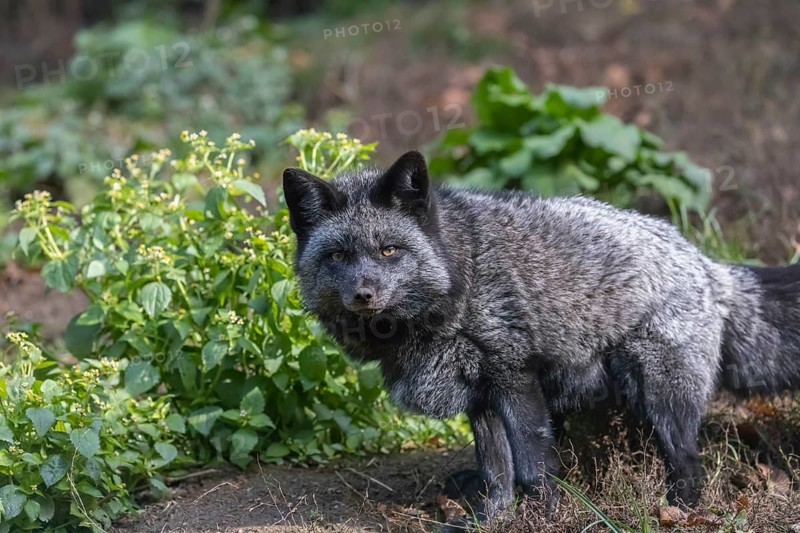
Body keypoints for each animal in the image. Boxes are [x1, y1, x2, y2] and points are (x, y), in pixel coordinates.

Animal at [283, 151, 800, 529]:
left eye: (389, 250)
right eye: (337, 256)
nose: (363, 295)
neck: (462, 277)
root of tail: (708, 266)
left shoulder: (515, 379)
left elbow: (530, 464)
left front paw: (544, 517)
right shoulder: (481, 396)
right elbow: (497, 470)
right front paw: (494, 519)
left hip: (659, 397)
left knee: (689, 463)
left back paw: (680, 512)